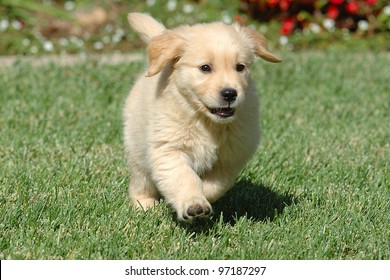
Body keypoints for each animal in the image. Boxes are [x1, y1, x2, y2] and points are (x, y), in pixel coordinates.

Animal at [124, 13, 280, 221]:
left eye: (240, 67)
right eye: (205, 68)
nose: (230, 94)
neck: (205, 121)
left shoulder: (231, 156)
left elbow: (215, 184)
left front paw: (202, 197)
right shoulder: (169, 150)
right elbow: (185, 178)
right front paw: (193, 203)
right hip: (137, 149)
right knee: (140, 181)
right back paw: (145, 205)